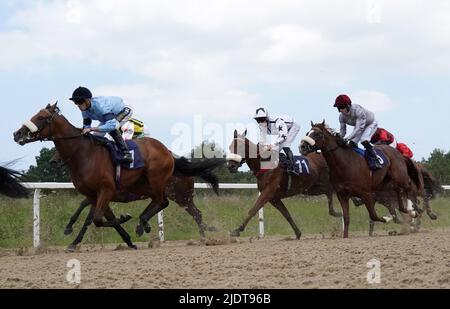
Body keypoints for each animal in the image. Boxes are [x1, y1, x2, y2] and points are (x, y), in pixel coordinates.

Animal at [13, 103, 225, 248]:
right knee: (171, 206)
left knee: (177, 207)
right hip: (166, 192)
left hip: (175, 192)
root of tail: (169, 154)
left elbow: (96, 219)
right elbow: (93, 216)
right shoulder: (95, 195)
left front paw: (126, 223)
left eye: (41, 117)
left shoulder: (105, 191)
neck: (85, 154)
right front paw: (72, 234)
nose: (17, 134)